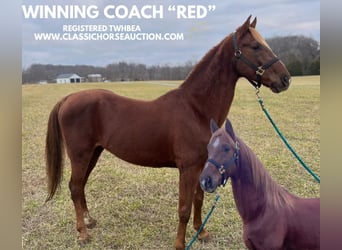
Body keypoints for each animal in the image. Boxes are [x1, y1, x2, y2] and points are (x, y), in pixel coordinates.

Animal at [44, 16, 292, 250]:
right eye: (255, 46)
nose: (286, 79)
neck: (195, 108)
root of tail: (68, 98)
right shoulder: (188, 168)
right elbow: (184, 207)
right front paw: (180, 244)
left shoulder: (202, 165)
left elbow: (198, 199)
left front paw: (201, 232)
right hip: (80, 154)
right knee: (75, 187)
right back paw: (83, 233)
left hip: (94, 153)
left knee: (81, 185)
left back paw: (88, 221)